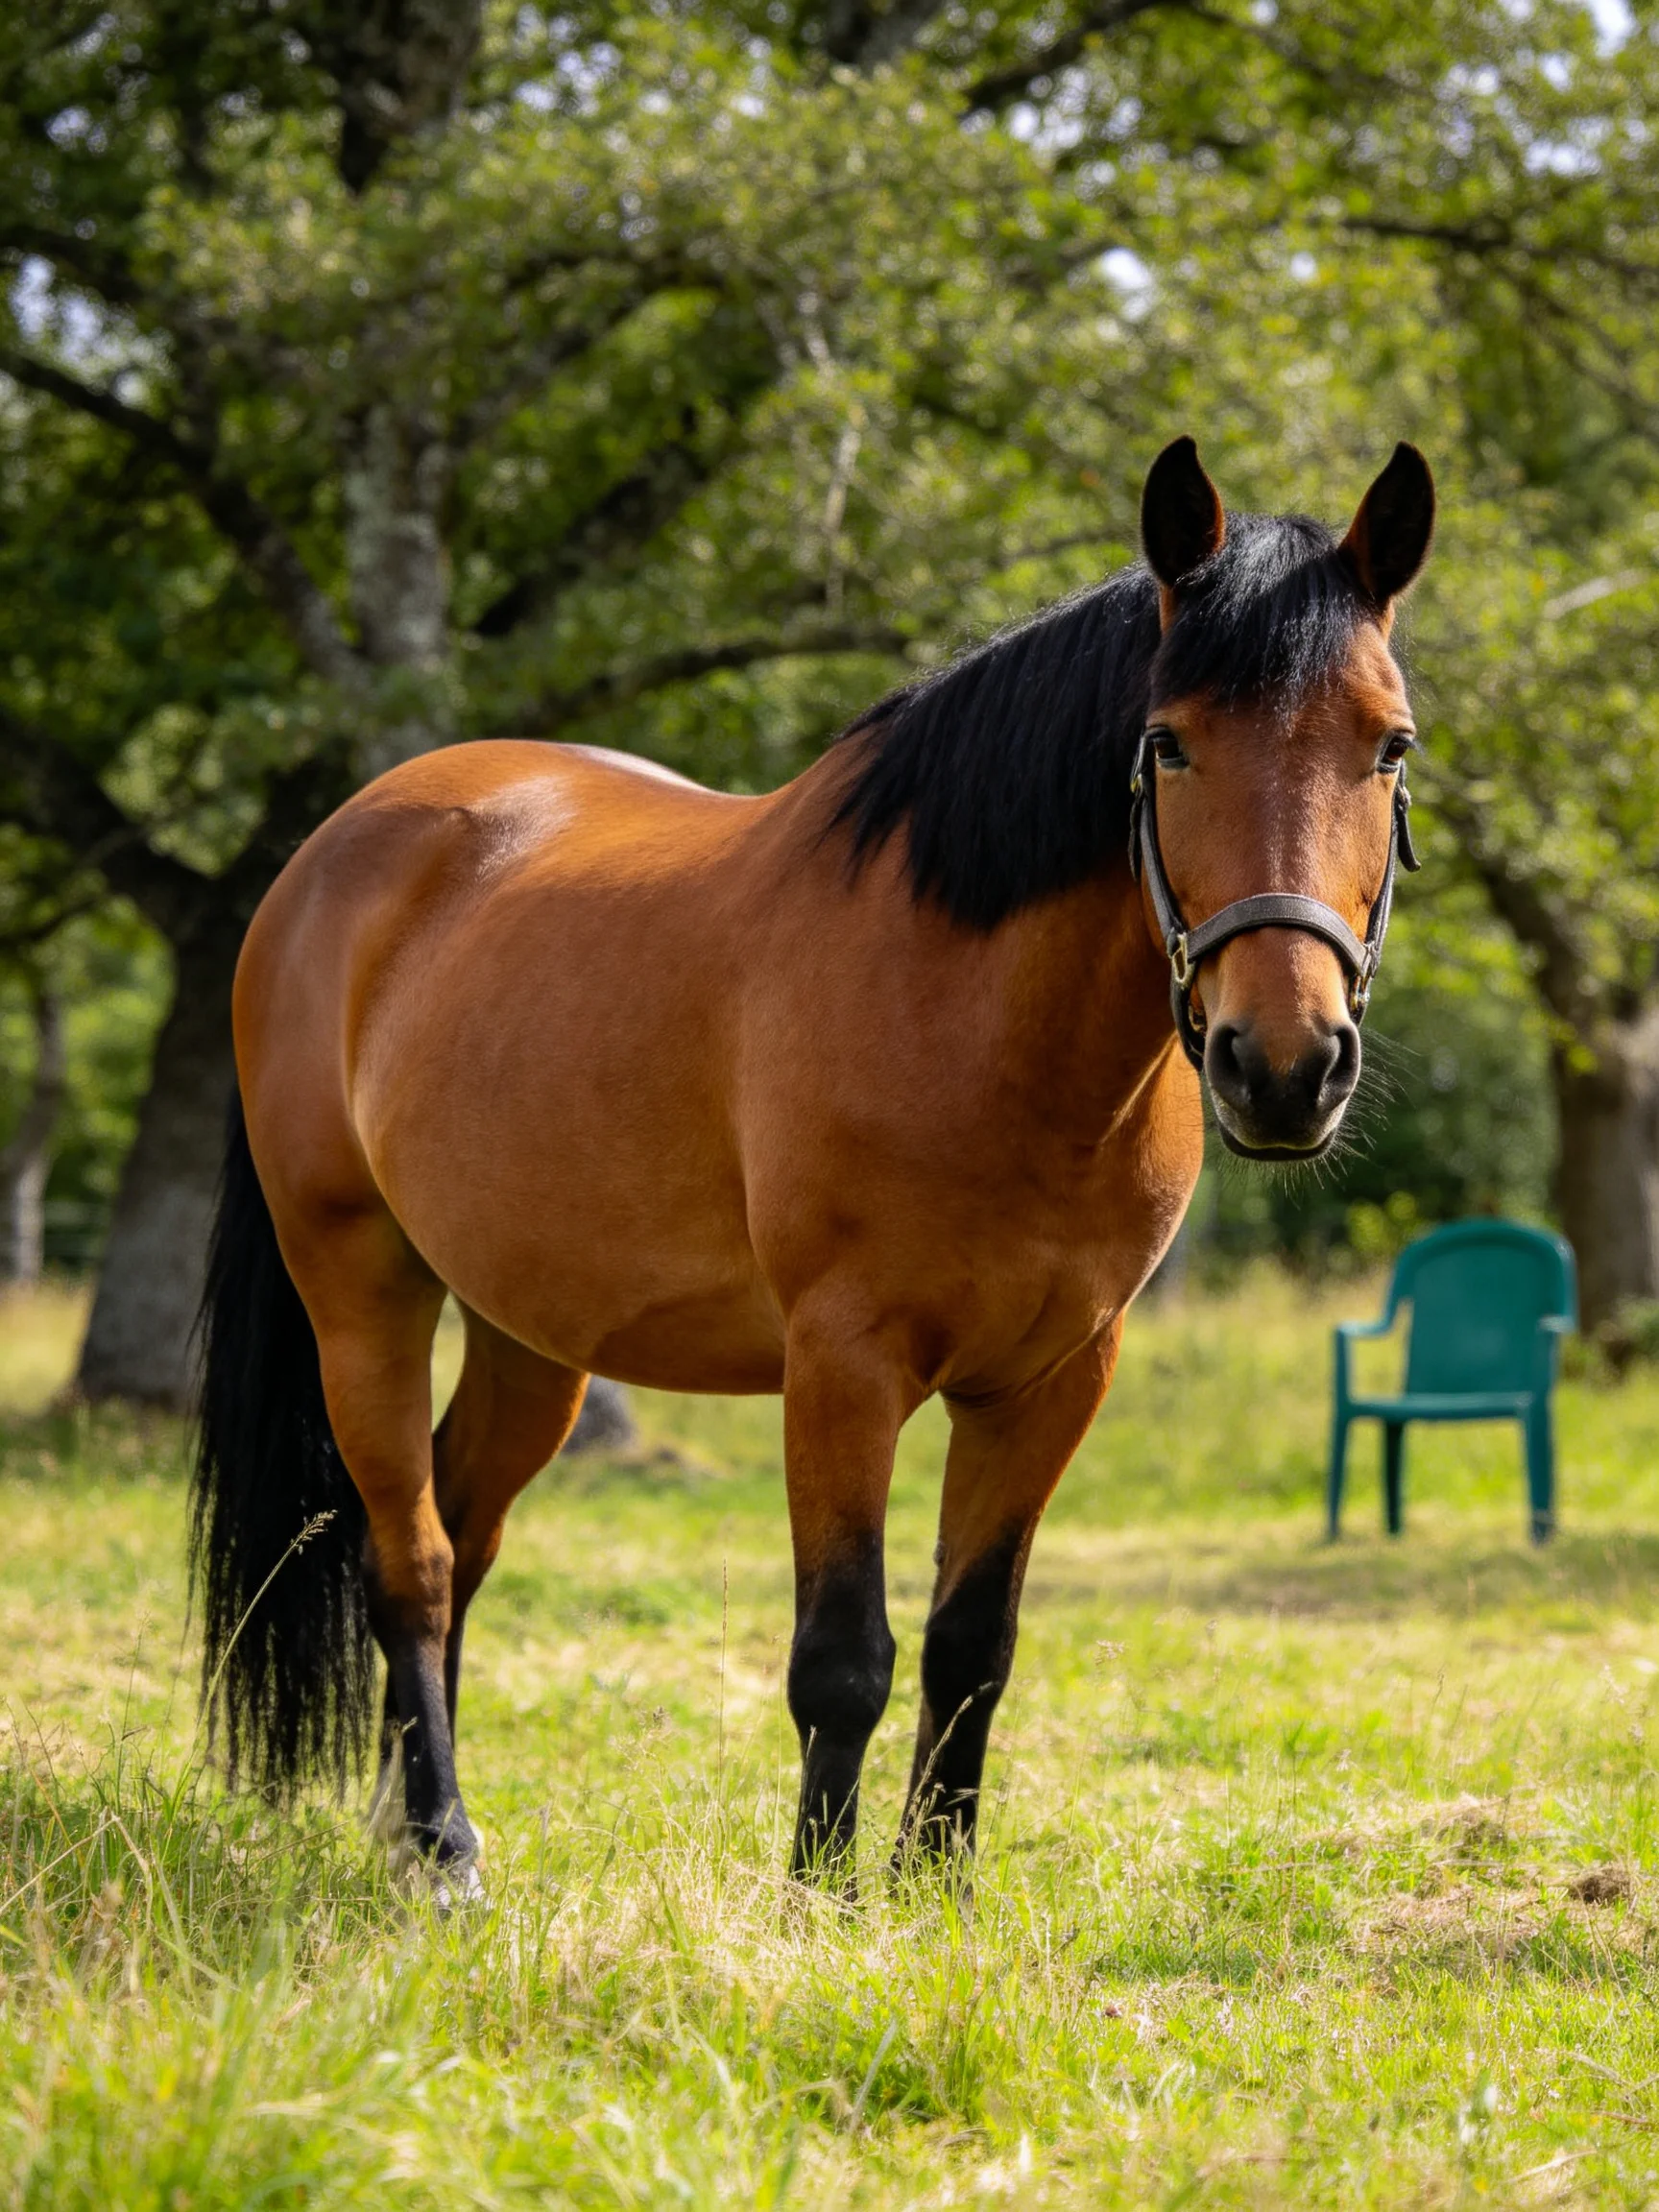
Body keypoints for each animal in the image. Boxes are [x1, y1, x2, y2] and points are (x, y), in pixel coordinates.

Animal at [191, 436, 1435, 1893]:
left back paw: (410, 1820)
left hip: (530, 1333)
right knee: (414, 1562)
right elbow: (844, 1658)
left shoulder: (1050, 1380)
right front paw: (823, 1895)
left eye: (1390, 744)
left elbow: (972, 1647)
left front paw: (937, 1884)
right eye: (1168, 741)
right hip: (359, 1290)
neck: (984, 1022)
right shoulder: (843, 1363)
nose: (1284, 1066)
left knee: (461, 1532)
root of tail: (326, 862)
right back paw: (443, 1849)